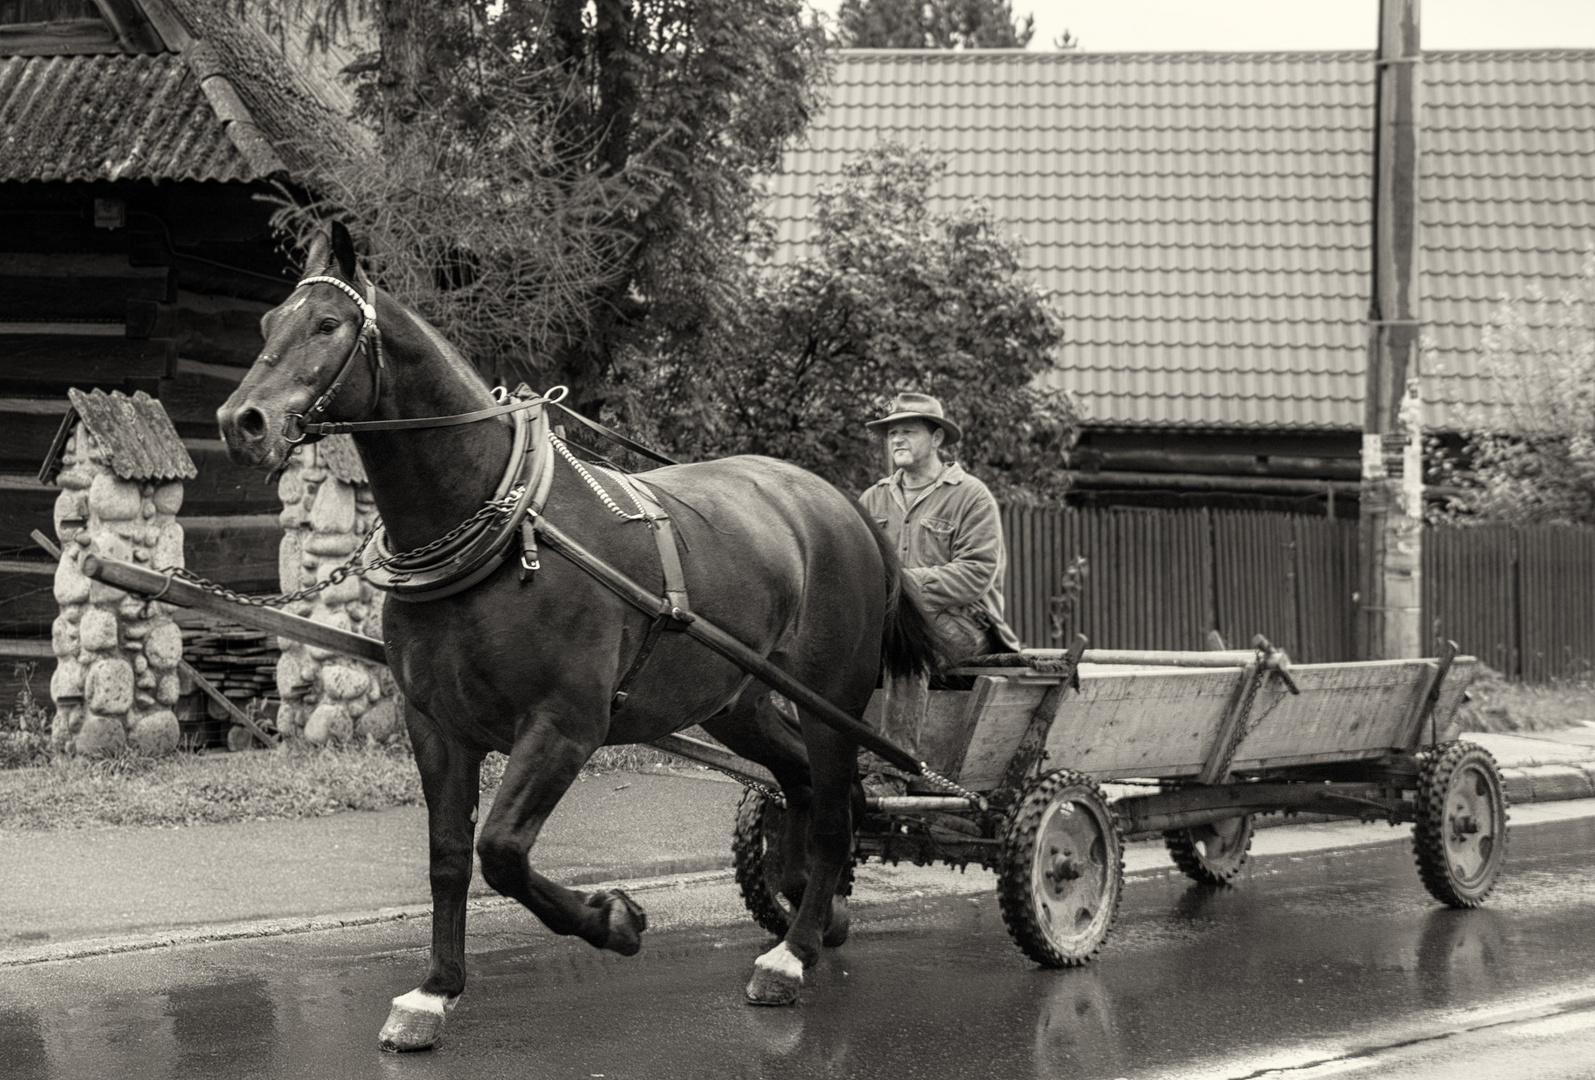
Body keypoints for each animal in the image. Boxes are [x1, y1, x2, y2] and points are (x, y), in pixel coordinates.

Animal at [210, 223, 931, 1046]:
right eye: (268, 324)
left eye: (327, 325)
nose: (241, 423)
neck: (503, 526)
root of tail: (847, 509)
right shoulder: (435, 725)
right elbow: (450, 856)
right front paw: (434, 991)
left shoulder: (564, 724)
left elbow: (501, 851)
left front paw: (613, 920)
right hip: (737, 702)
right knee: (806, 785)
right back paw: (809, 910)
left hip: (828, 699)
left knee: (837, 810)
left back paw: (790, 954)